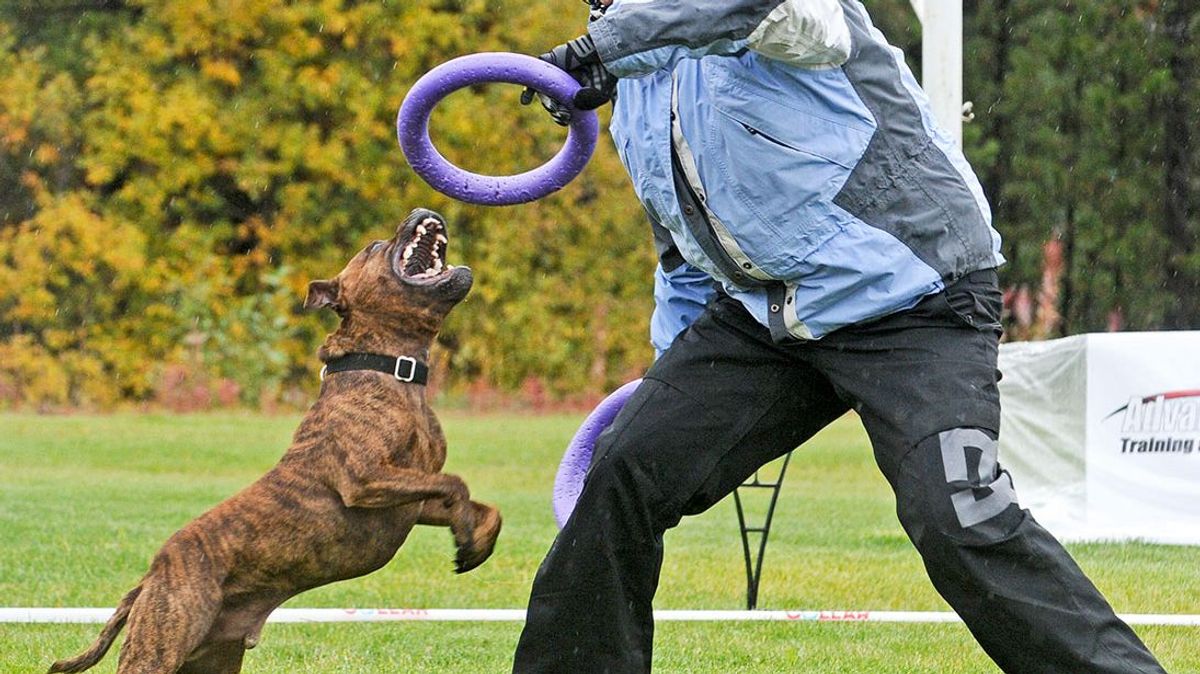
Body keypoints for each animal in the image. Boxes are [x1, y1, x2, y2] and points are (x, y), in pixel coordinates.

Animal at [50, 207, 501, 666]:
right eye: (374, 247)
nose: (419, 210)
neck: (393, 368)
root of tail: (150, 576)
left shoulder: (413, 498)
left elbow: (481, 505)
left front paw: (473, 542)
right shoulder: (365, 479)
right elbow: (457, 484)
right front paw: (467, 536)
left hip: (213, 659)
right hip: (158, 646)